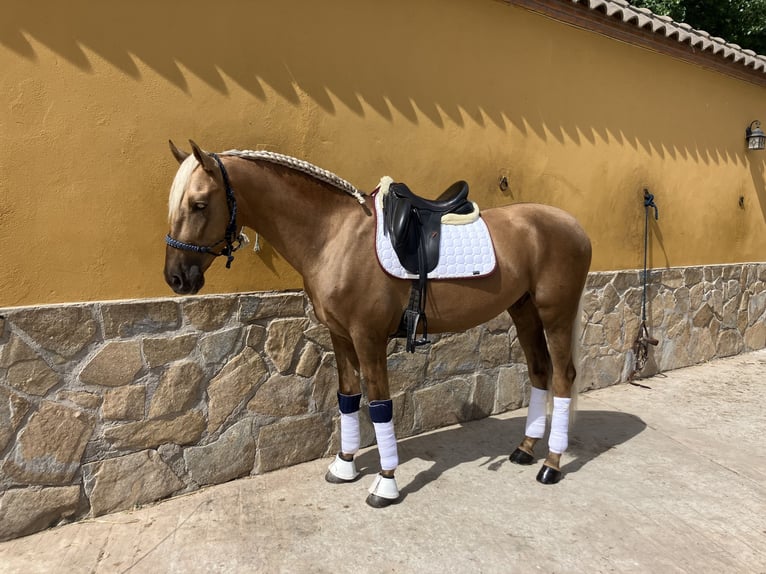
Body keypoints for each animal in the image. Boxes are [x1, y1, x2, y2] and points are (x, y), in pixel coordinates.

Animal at [162, 140, 592, 508]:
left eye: (199, 204)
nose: (177, 278)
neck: (334, 236)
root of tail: (574, 225)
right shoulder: (339, 336)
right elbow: (348, 398)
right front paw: (345, 464)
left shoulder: (368, 337)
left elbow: (380, 406)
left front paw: (386, 483)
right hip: (523, 311)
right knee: (540, 371)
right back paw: (525, 450)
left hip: (555, 313)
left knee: (563, 376)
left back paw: (551, 464)